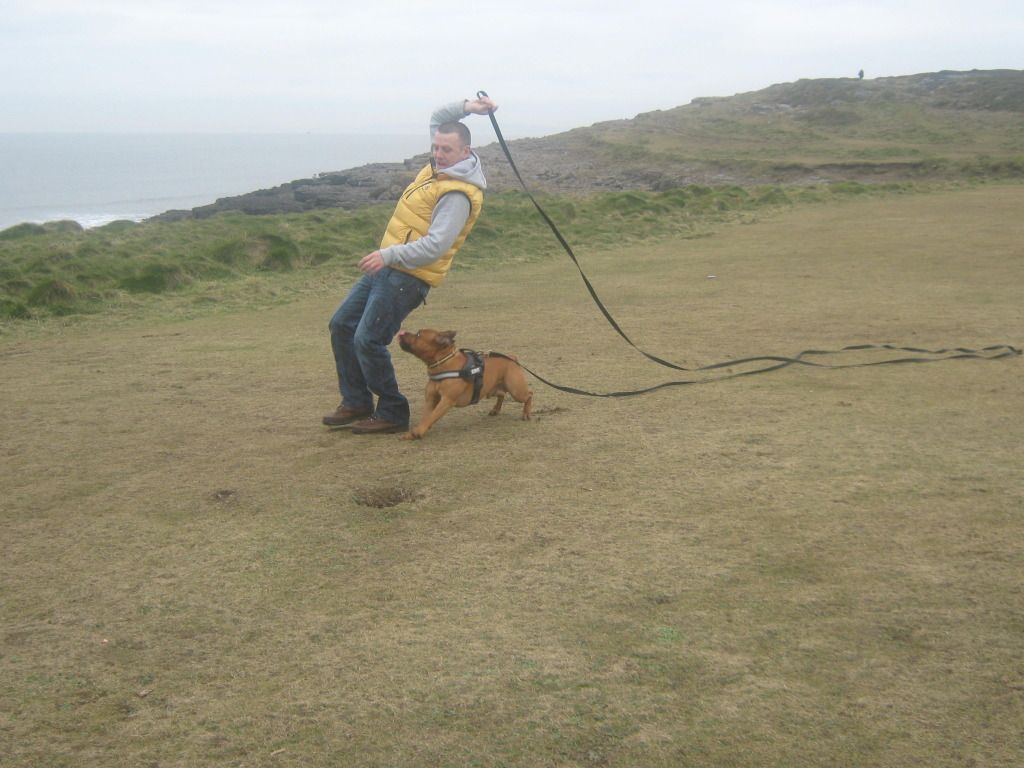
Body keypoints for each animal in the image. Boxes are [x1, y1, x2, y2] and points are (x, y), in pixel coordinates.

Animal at [395, 329, 532, 442]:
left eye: (418, 334)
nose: (402, 332)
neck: (442, 363)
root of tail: (512, 358)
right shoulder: (430, 399)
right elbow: (426, 417)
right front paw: (415, 432)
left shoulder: (446, 400)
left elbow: (432, 416)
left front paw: (417, 432)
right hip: (492, 389)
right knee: (502, 394)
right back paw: (495, 409)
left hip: (516, 391)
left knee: (529, 394)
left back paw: (526, 413)